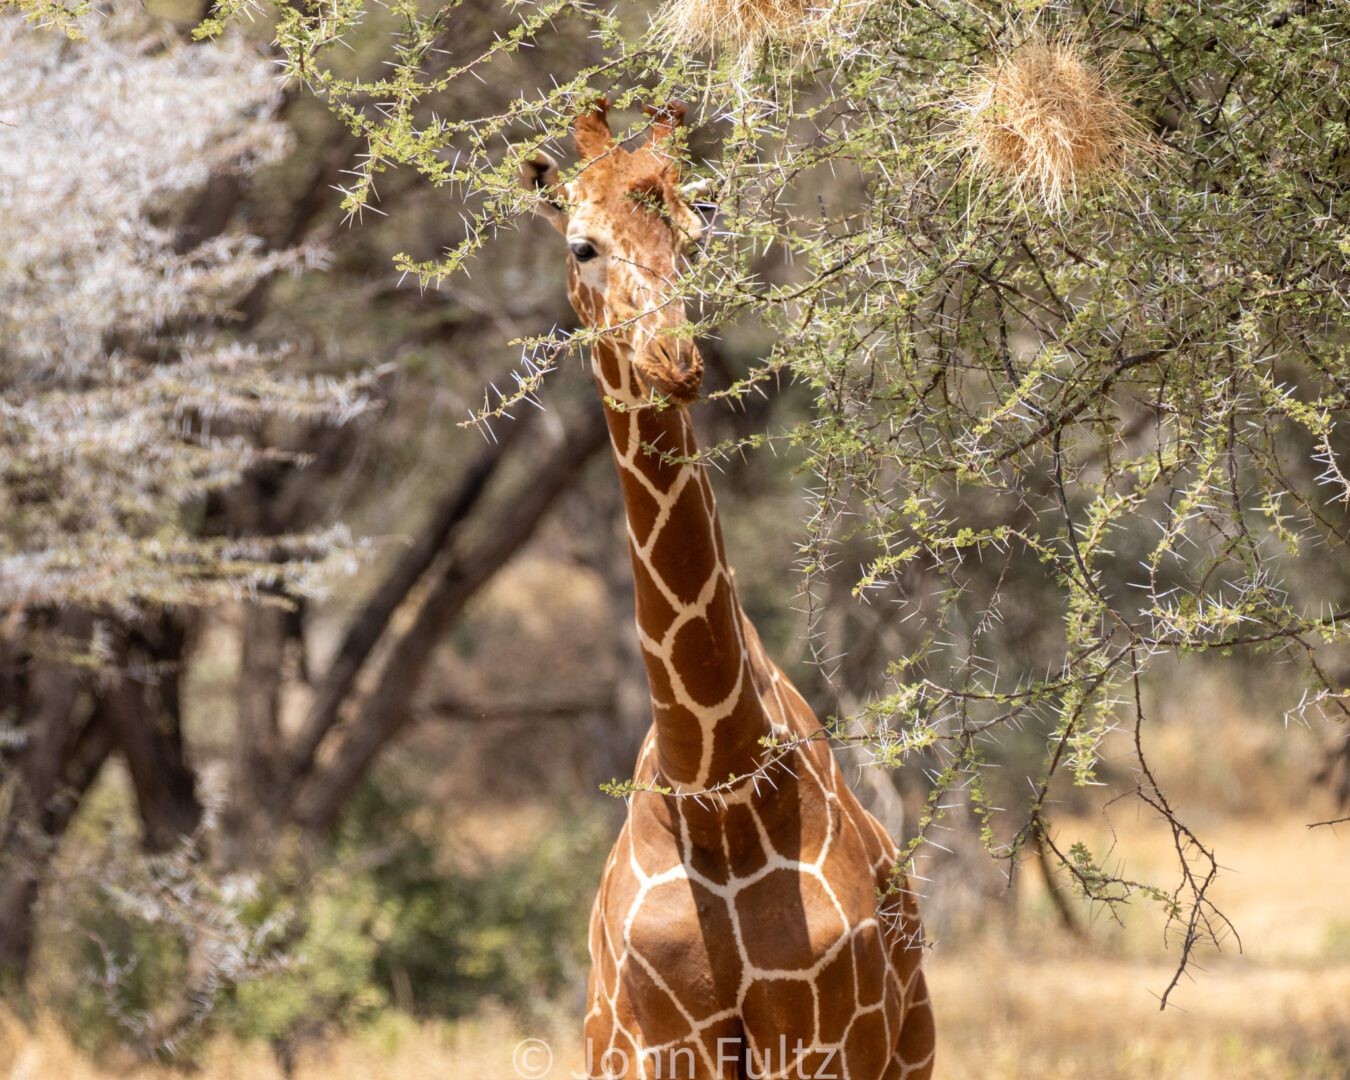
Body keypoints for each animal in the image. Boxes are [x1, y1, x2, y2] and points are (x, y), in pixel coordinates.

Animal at [521, 101, 934, 1080]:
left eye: (693, 239)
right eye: (583, 244)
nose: (673, 361)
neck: (718, 793)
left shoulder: (819, 1041)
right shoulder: (664, 1043)